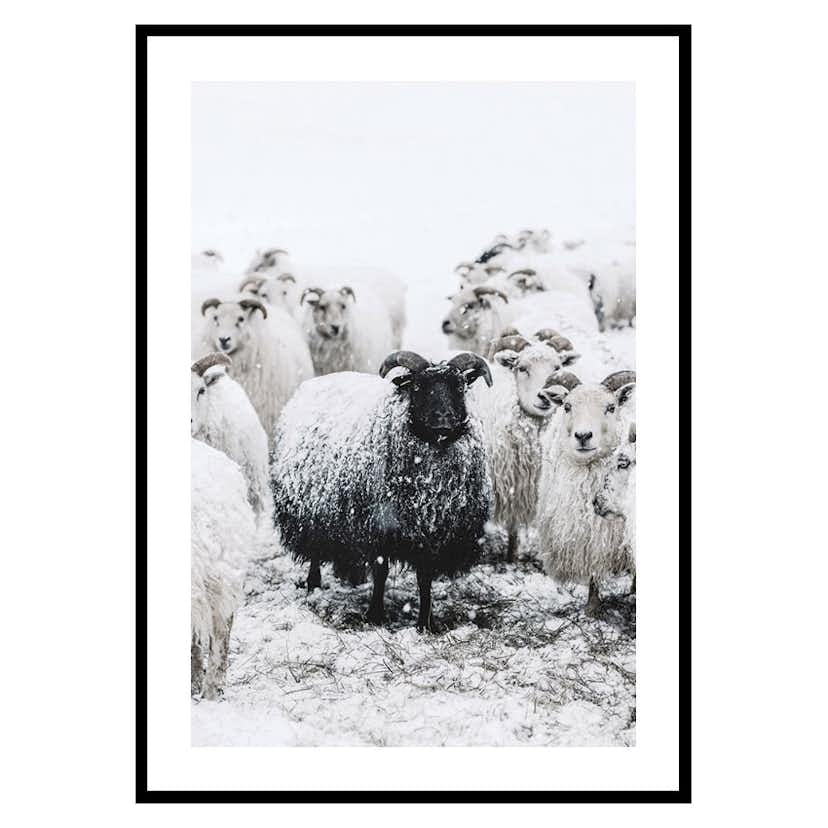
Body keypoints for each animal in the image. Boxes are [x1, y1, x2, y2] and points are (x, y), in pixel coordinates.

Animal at [270, 350, 494, 631]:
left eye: (460, 387)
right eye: (417, 387)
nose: (443, 422)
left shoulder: (432, 534)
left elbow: (425, 577)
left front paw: (425, 623)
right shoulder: (377, 526)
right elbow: (381, 571)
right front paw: (374, 615)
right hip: (310, 513)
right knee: (315, 552)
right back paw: (314, 586)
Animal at [469, 329, 579, 562]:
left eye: (557, 368)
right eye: (521, 368)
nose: (544, 397)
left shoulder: (523, 487)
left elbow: (513, 528)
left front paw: (512, 555)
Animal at [535, 370, 636, 614]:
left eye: (611, 407)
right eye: (567, 406)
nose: (583, 436)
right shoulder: (588, 536)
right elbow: (593, 571)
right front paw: (592, 608)